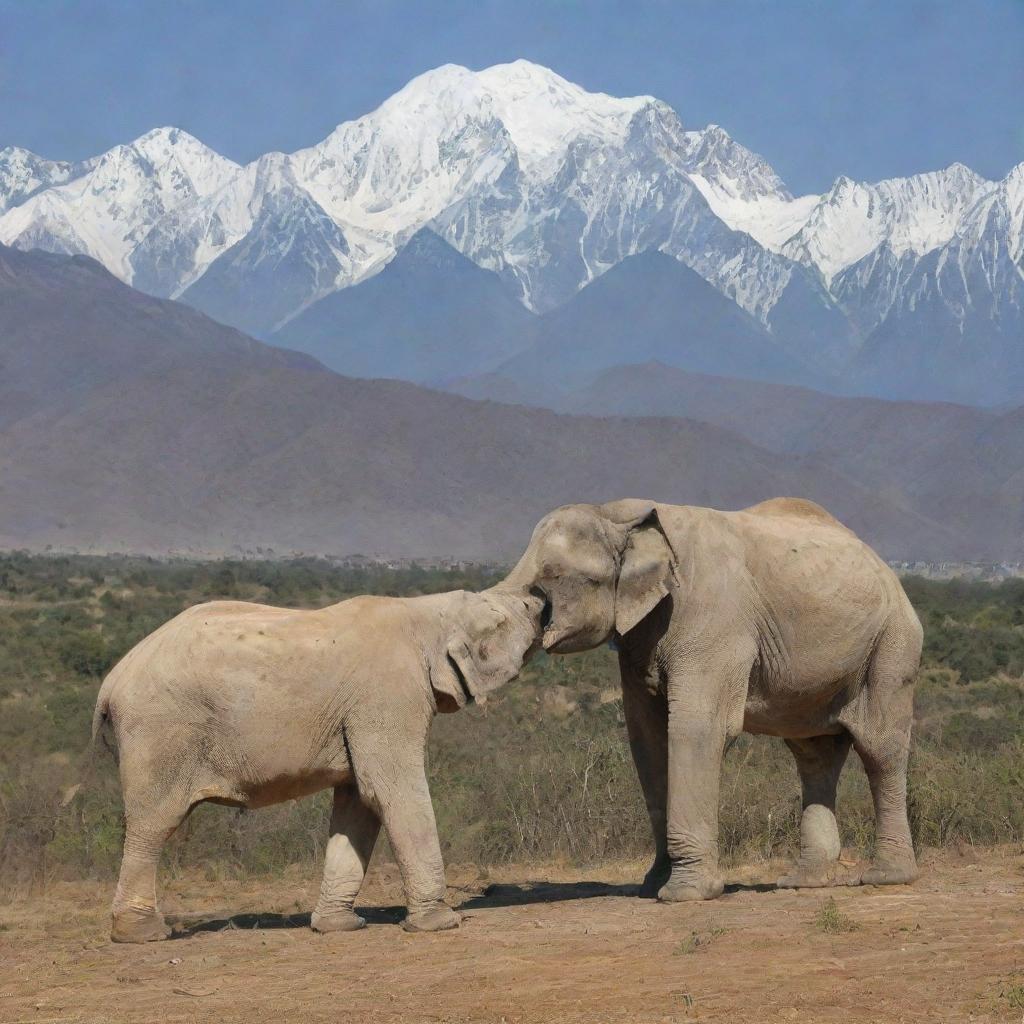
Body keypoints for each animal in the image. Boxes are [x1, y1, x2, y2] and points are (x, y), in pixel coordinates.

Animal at [94, 585, 544, 942]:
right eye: (503, 619)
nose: (540, 600)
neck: (425, 611)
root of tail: (110, 682)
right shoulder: (388, 694)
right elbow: (391, 791)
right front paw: (442, 923)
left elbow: (358, 803)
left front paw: (339, 927)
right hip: (159, 732)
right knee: (153, 824)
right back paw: (143, 935)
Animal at [499, 497, 925, 905]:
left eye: (554, 576)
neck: (618, 513)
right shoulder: (639, 638)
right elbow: (648, 740)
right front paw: (652, 887)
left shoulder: (711, 621)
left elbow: (697, 731)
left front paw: (684, 895)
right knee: (813, 755)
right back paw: (803, 883)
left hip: (892, 644)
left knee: (879, 749)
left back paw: (886, 877)